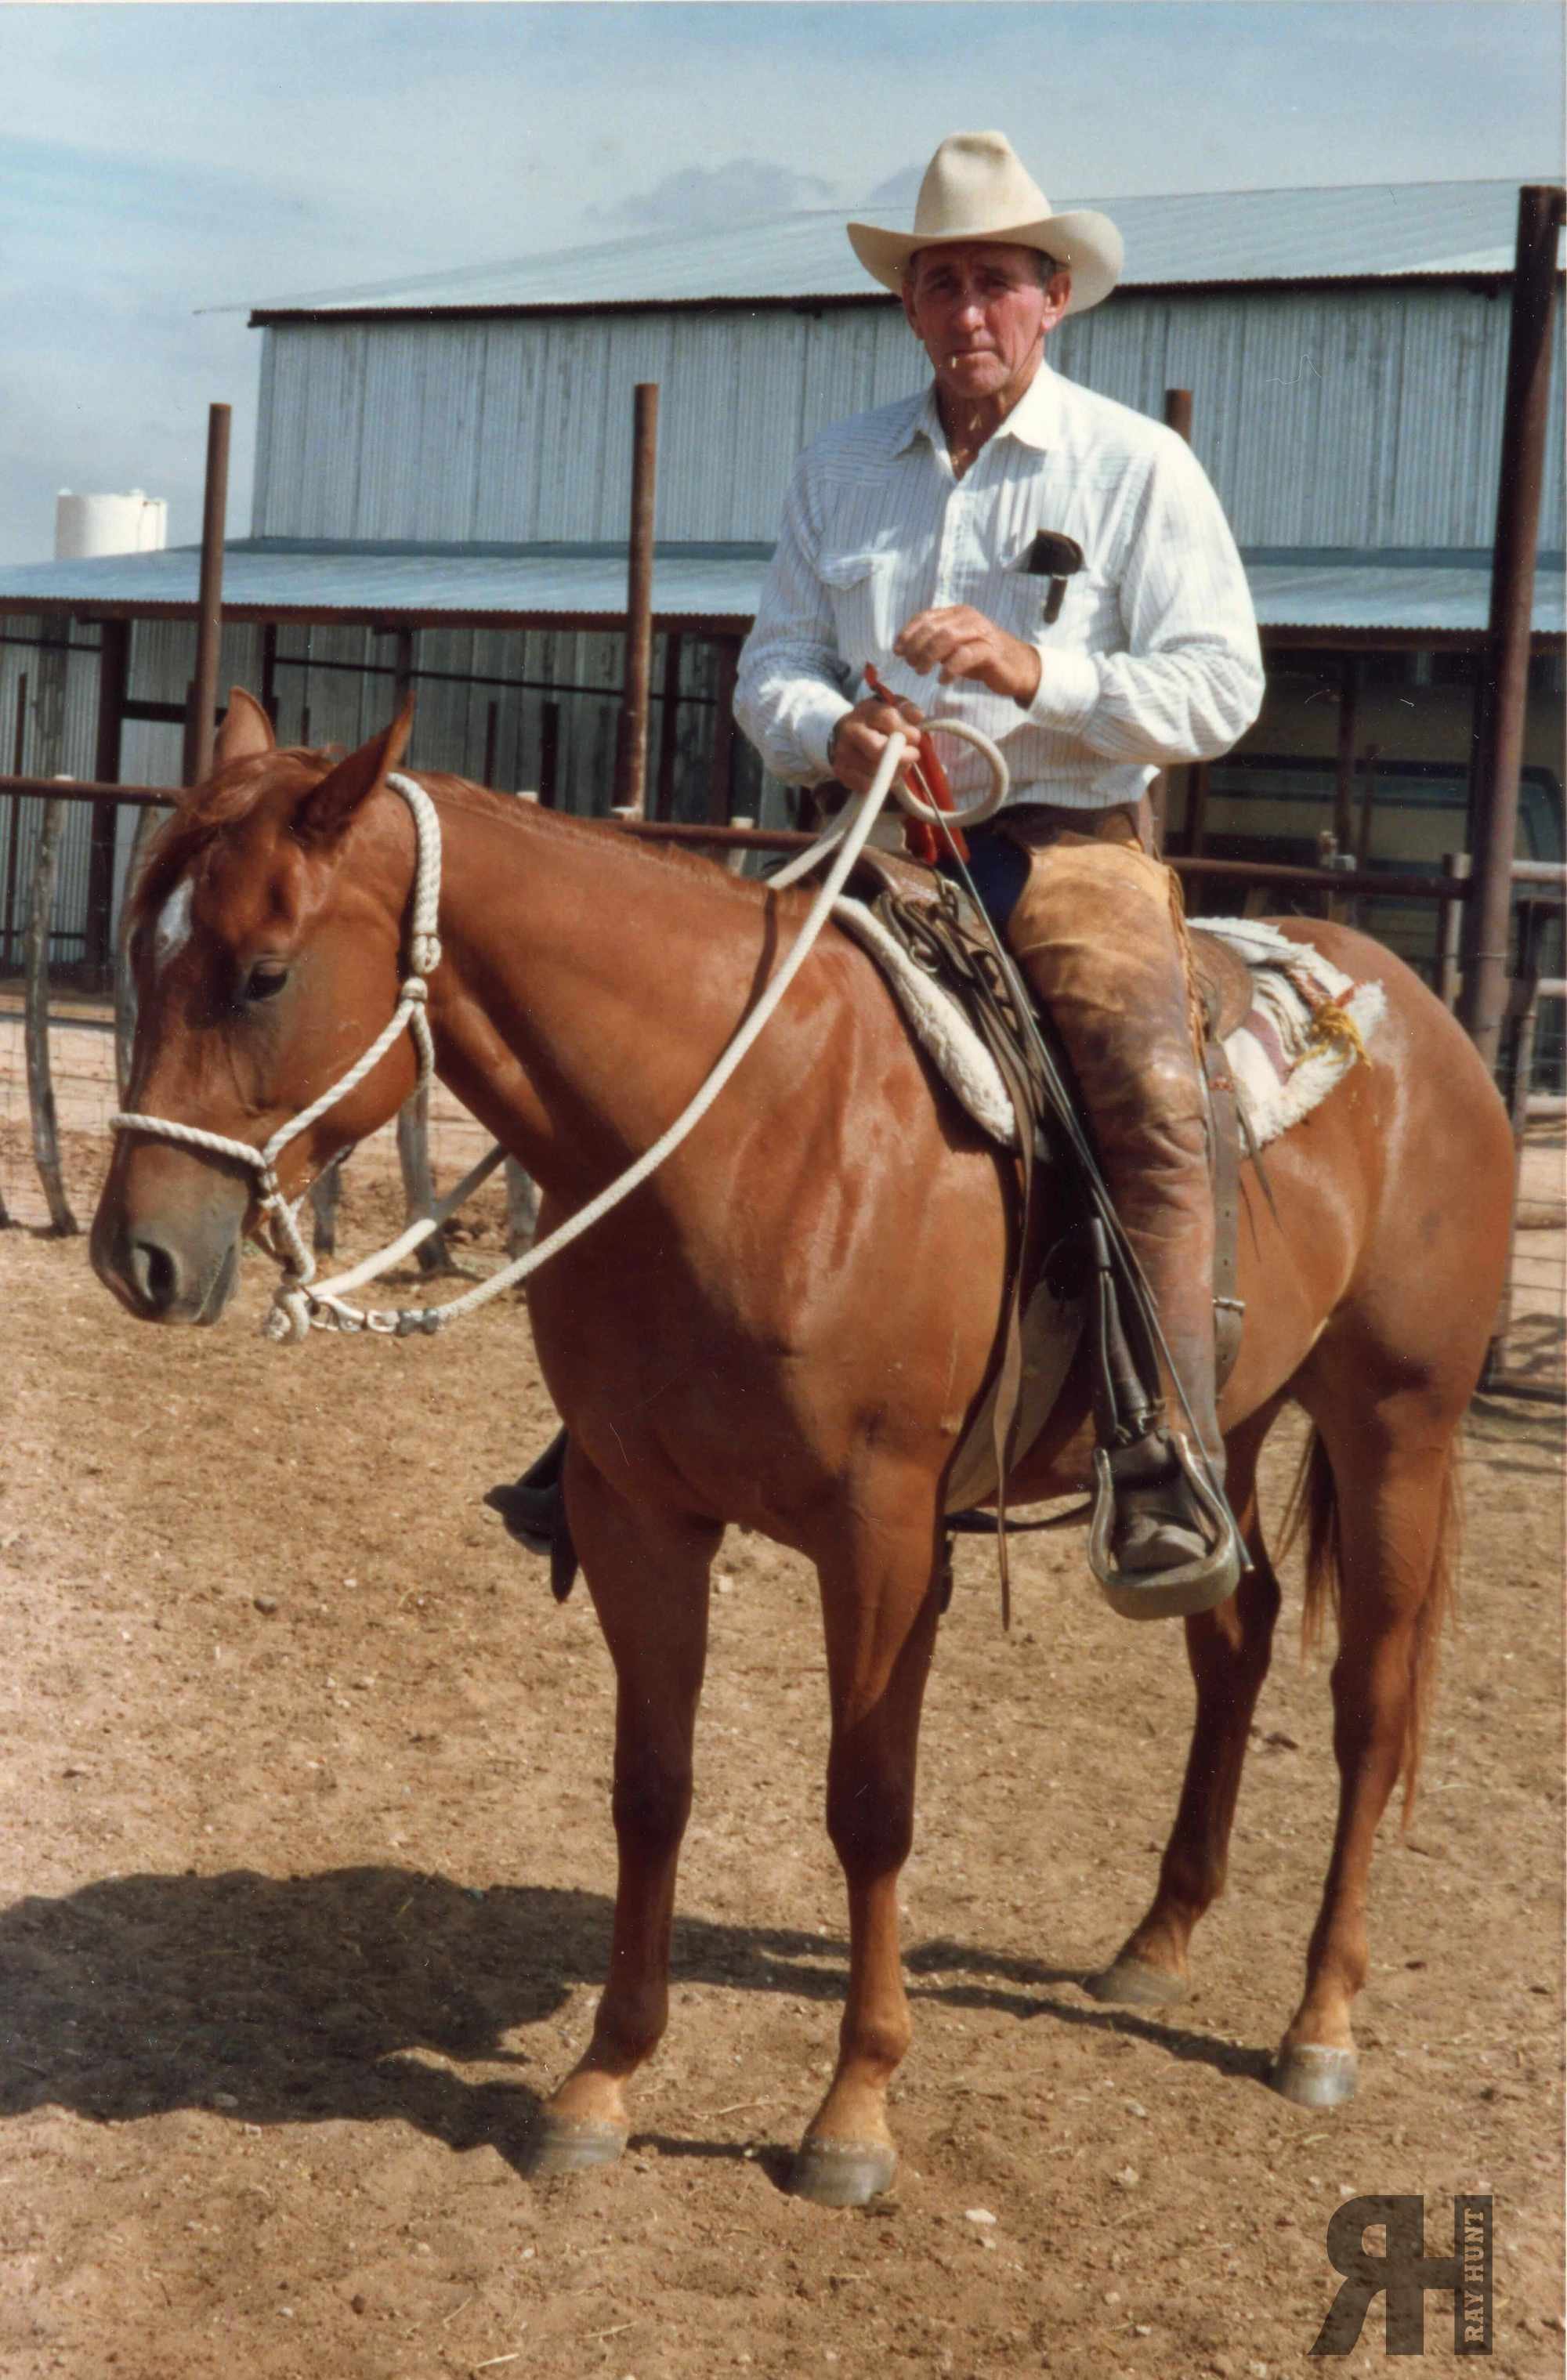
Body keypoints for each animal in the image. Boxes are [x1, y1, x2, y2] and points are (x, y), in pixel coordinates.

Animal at [92, 691, 1514, 2204]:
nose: (139, 1255)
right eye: (141, 948)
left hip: (1397, 1421)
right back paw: (1158, 1939)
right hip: (1225, 1425)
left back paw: (1321, 2022)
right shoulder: (634, 1512)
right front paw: (603, 2078)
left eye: (262, 975)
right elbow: (651, 1788)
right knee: (1233, 1632)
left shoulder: (883, 1538)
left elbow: (869, 1803)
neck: (747, 1128)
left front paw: (853, 2111)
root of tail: (1416, 1015)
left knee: (1370, 1703)